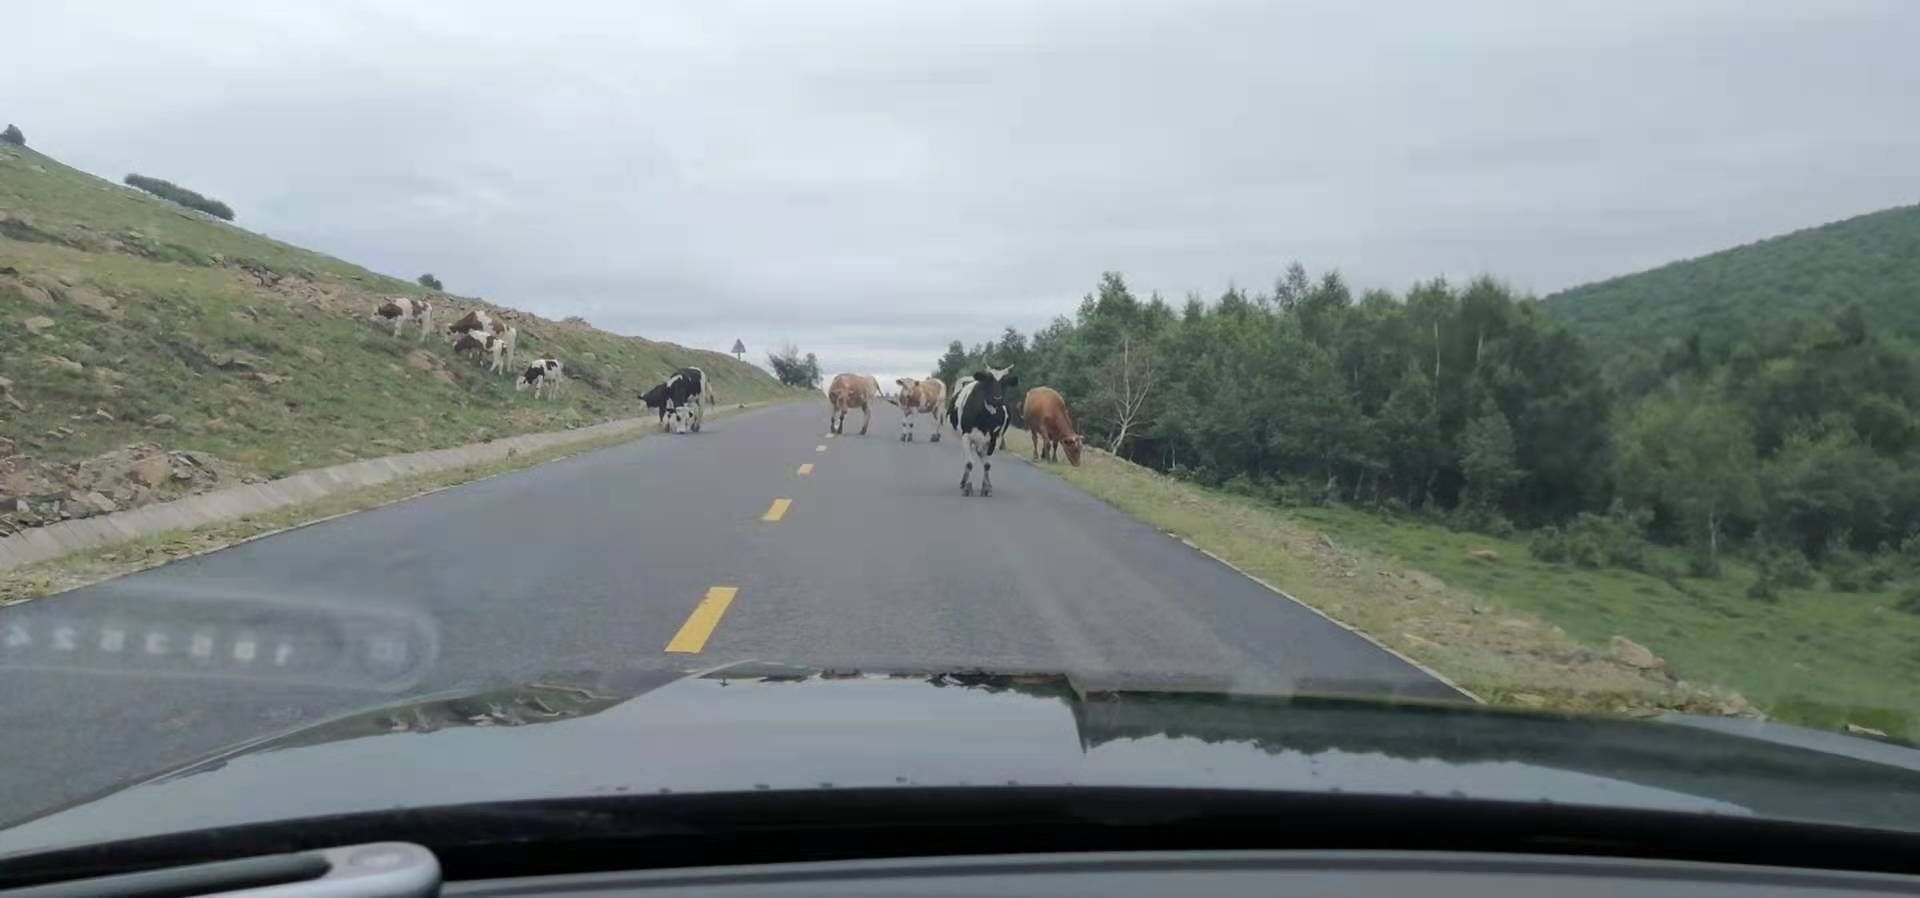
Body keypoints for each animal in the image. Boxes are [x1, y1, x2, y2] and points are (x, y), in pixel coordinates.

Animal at [948, 364, 1021, 498]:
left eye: (1005, 383)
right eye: (988, 380)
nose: (997, 399)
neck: (985, 420)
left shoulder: (994, 439)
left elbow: (987, 465)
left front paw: (986, 488)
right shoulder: (966, 437)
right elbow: (969, 463)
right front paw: (968, 487)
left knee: (982, 457)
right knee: (970, 460)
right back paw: (963, 482)